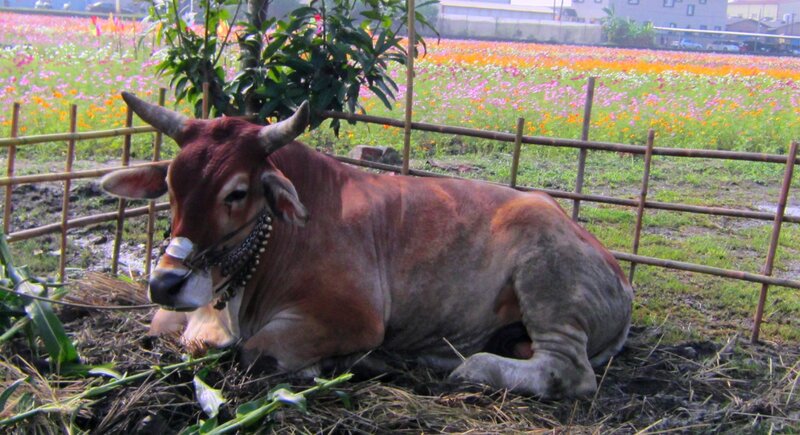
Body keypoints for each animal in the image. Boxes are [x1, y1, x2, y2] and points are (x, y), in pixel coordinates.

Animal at [100, 92, 633, 399]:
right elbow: (171, 329)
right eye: (171, 185)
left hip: (547, 281)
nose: (166, 283)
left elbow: (257, 350)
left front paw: (331, 364)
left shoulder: (352, 318)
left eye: (237, 192)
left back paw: (471, 368)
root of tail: (617, 273)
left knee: (567, 373)